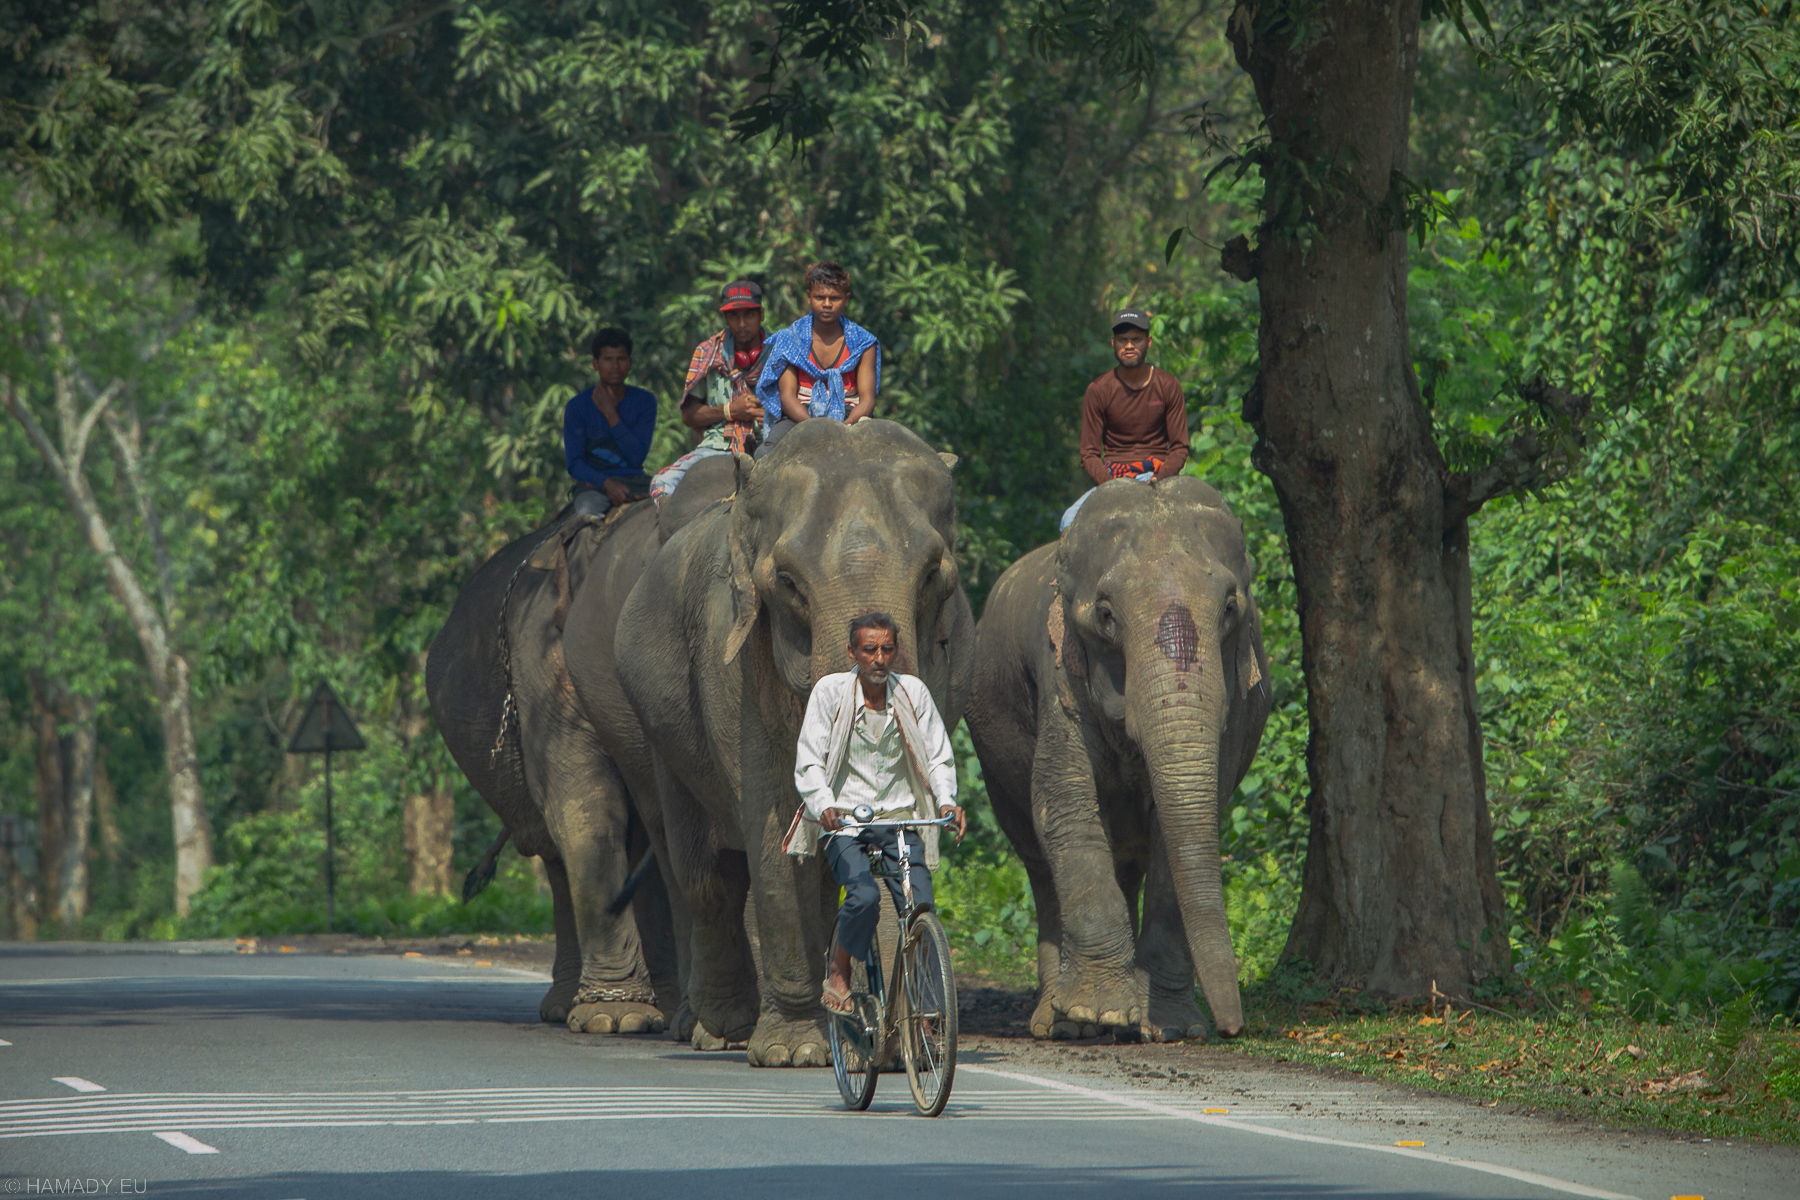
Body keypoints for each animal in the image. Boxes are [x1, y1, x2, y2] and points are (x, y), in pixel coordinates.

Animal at [604, 422, 979, 1072]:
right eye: (786, 583)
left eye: (935, 575)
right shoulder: (735, 672)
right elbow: (777, 825)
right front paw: (795, 1050)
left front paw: (895, 1044)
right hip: (659, 720)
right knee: (704, 875)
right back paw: (719, 1031)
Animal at [964, 474, 1274, 1043]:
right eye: (1106, 617)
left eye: (1229, 609)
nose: (1231, 1030)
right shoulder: (1059, 674)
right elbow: (1063, 806)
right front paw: (1100, 1013)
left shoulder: (1238, 704)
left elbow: (1184, 830)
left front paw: (1170, 1028)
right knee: (1038, 862)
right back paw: (1063, 1024)